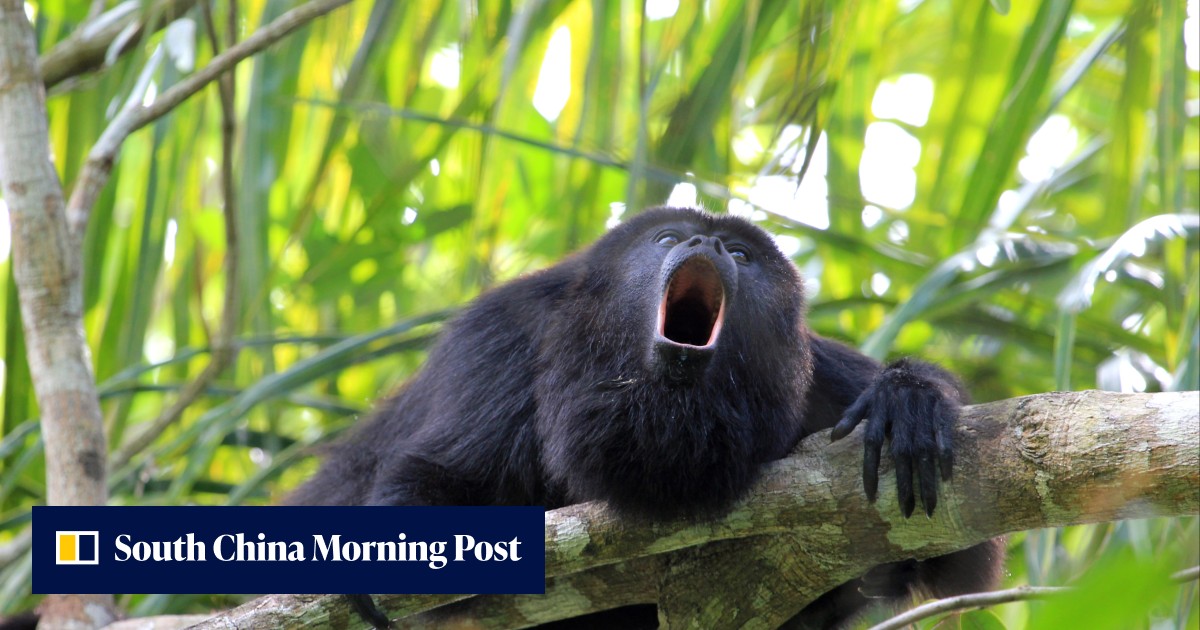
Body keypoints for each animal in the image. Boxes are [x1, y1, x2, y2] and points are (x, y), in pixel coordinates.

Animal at [286, 207, 1004, 628]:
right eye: (667, 238)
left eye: (740, 255)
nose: (706, 240)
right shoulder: (501, 338)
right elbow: (441, 479)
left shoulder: (817, 381)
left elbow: (957, 553)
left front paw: (906, 400)